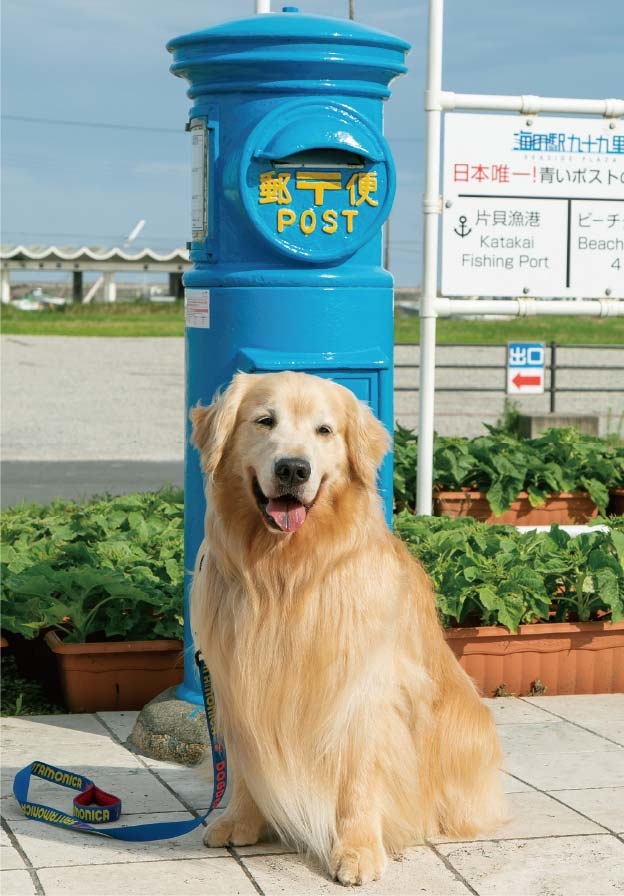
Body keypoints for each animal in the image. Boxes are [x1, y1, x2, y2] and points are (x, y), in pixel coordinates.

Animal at [190, 370, 508, 880]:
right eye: (264, 421)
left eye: (325, 430)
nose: (293, 469)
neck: (286, 573)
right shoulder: (236, 685)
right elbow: (244, 765)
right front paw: (240, 820)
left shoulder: (364, 692)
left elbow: (359, 780)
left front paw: (358, 850)